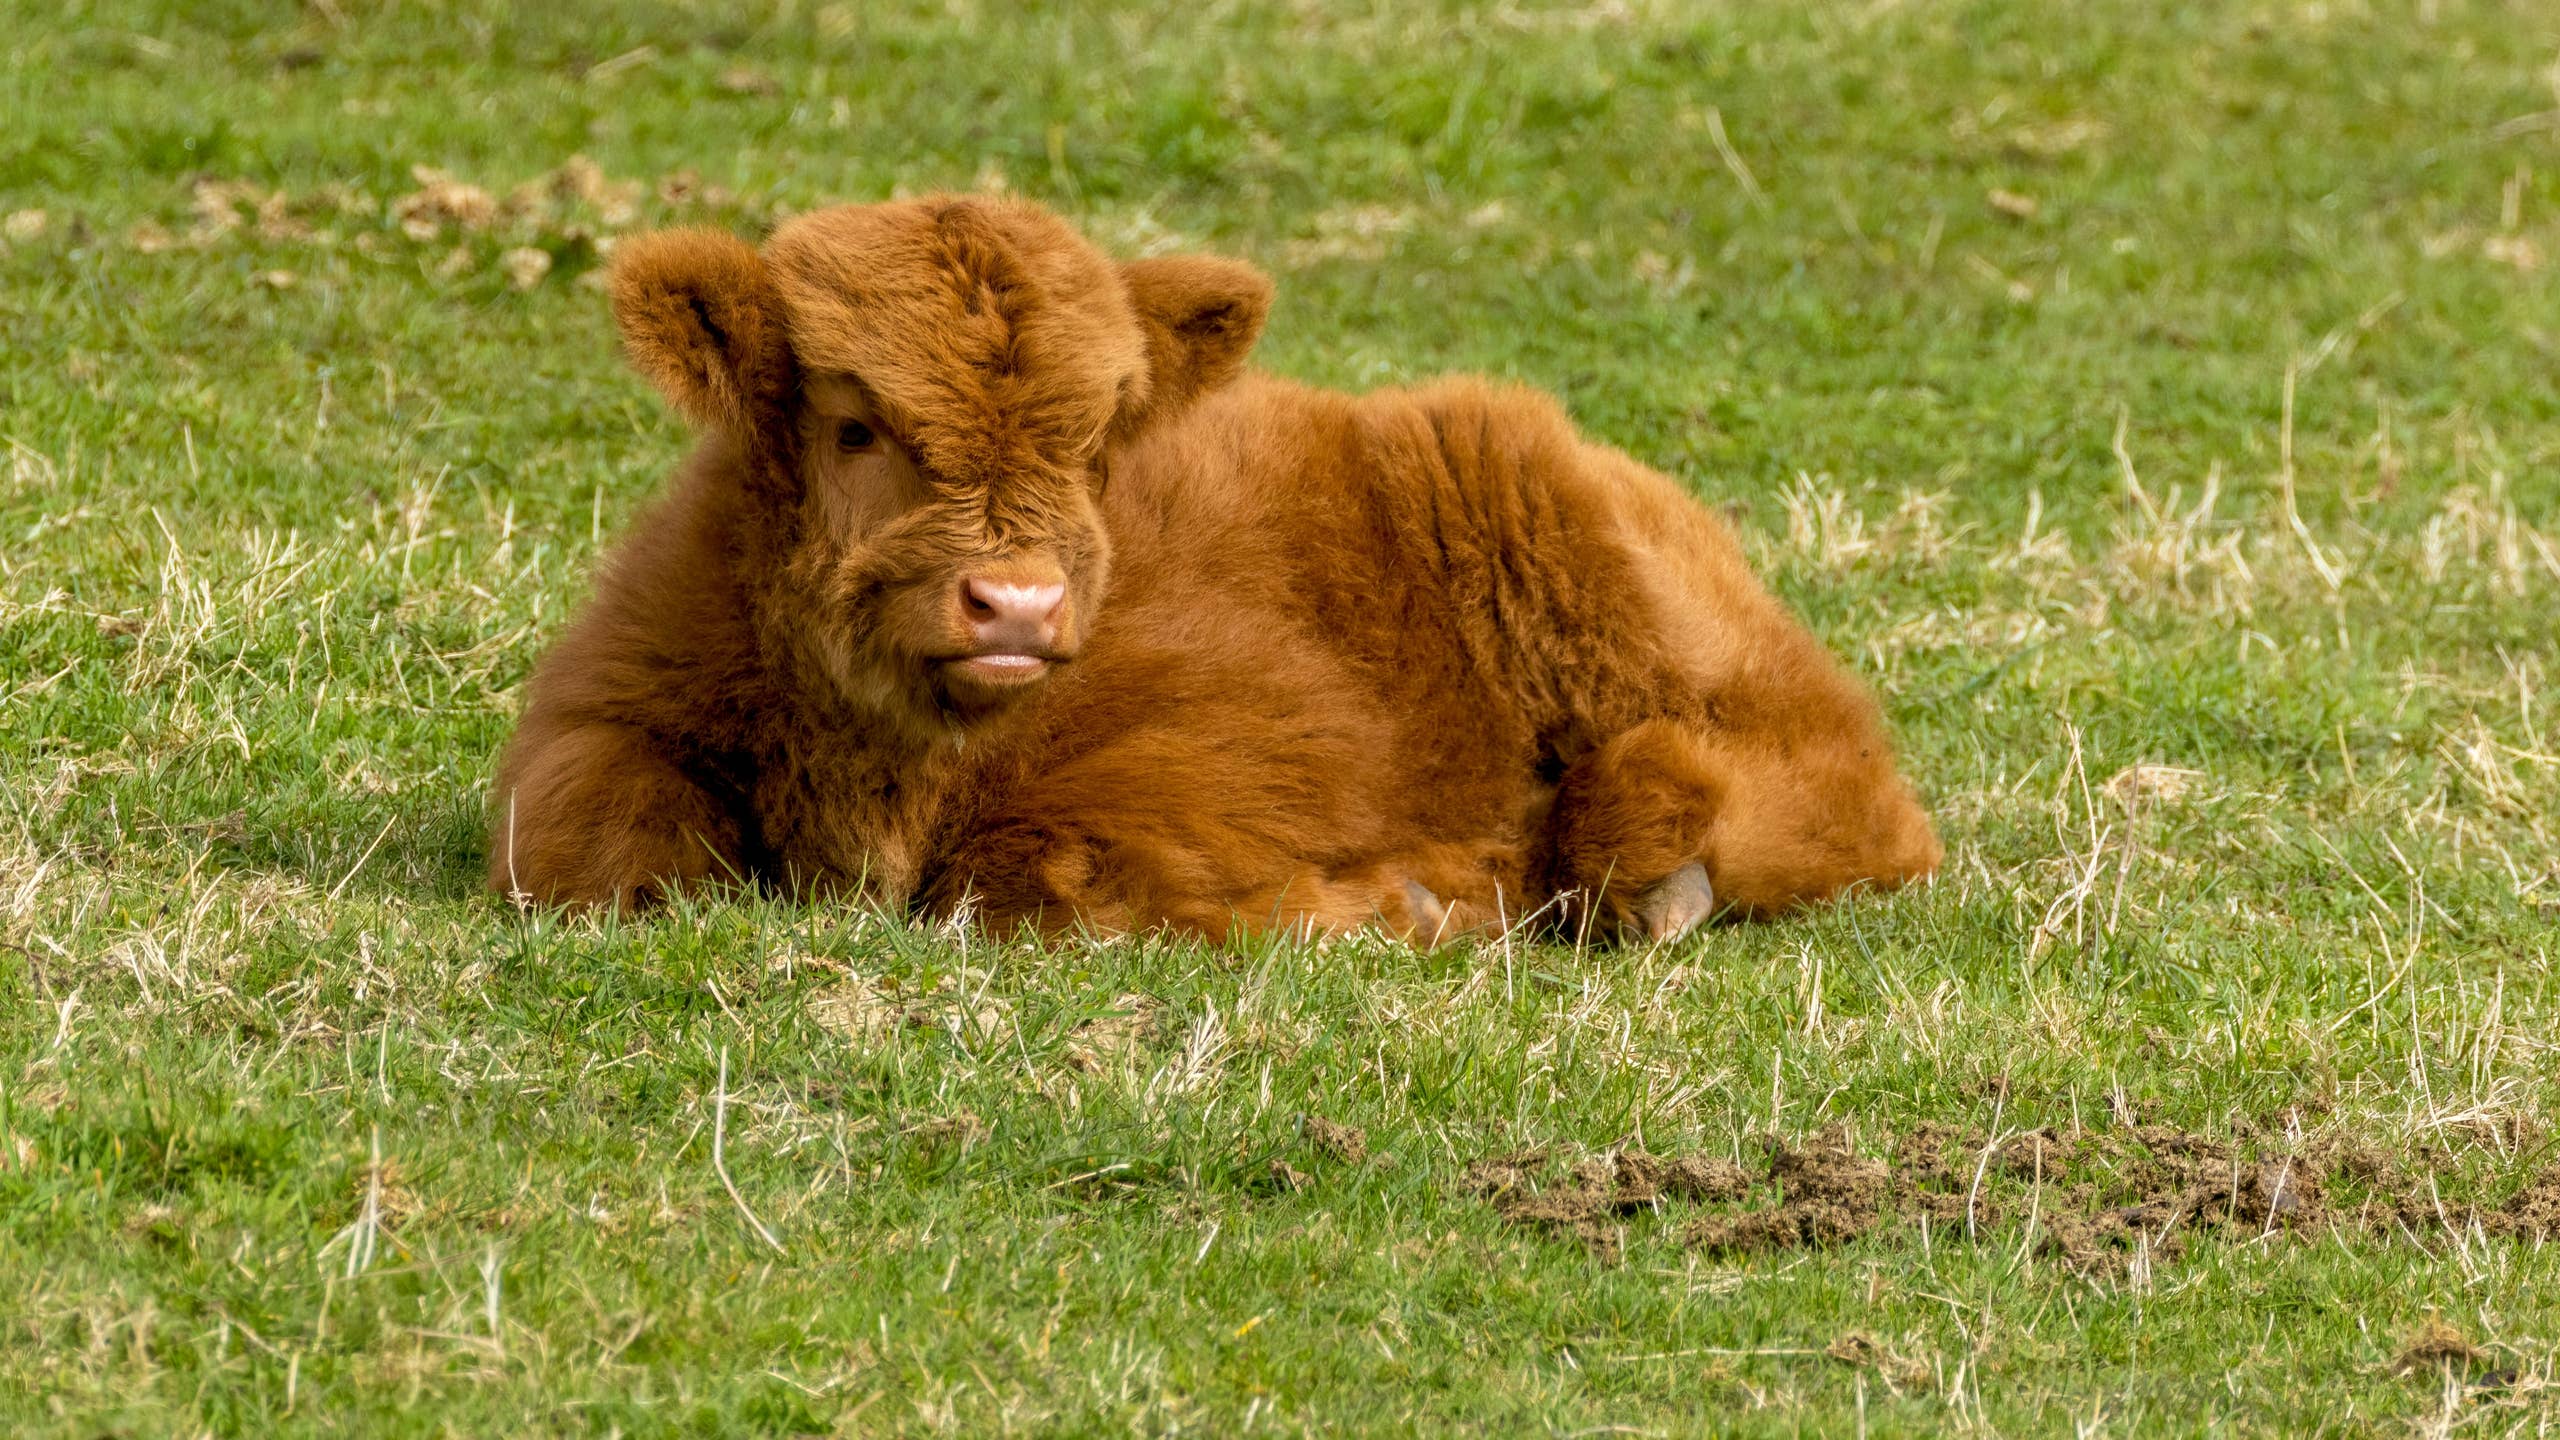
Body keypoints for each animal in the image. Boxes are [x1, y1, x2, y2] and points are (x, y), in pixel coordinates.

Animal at [486, 194, 1941, 944]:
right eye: (857, 428)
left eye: (1091, 444)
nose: (1018, 602)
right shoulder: (602, 707)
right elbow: (582, 836)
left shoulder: (1255, 744)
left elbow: (1040, 867)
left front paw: (1402, 898)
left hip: (1597, 574)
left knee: (1849, 785)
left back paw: (1644, 860)